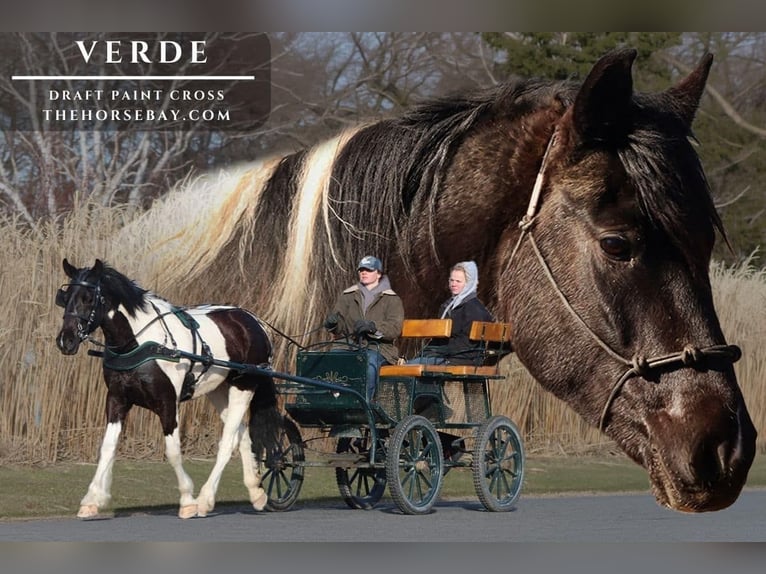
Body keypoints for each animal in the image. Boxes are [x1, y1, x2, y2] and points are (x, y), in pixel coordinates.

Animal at [55, 258, 282, 519]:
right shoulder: (117, 399)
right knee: (240, 434)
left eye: (88, 298)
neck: (141, 343)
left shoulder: (167, 403)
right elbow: (108, 447)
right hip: (219, 391)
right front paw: (93, 499)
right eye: (65, 296)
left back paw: (205, 499)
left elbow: (173, 451)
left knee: (227, 442)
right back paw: (256, 492)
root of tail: (254, 320)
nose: (65, 340)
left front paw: (187, 500)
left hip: (243, 387)